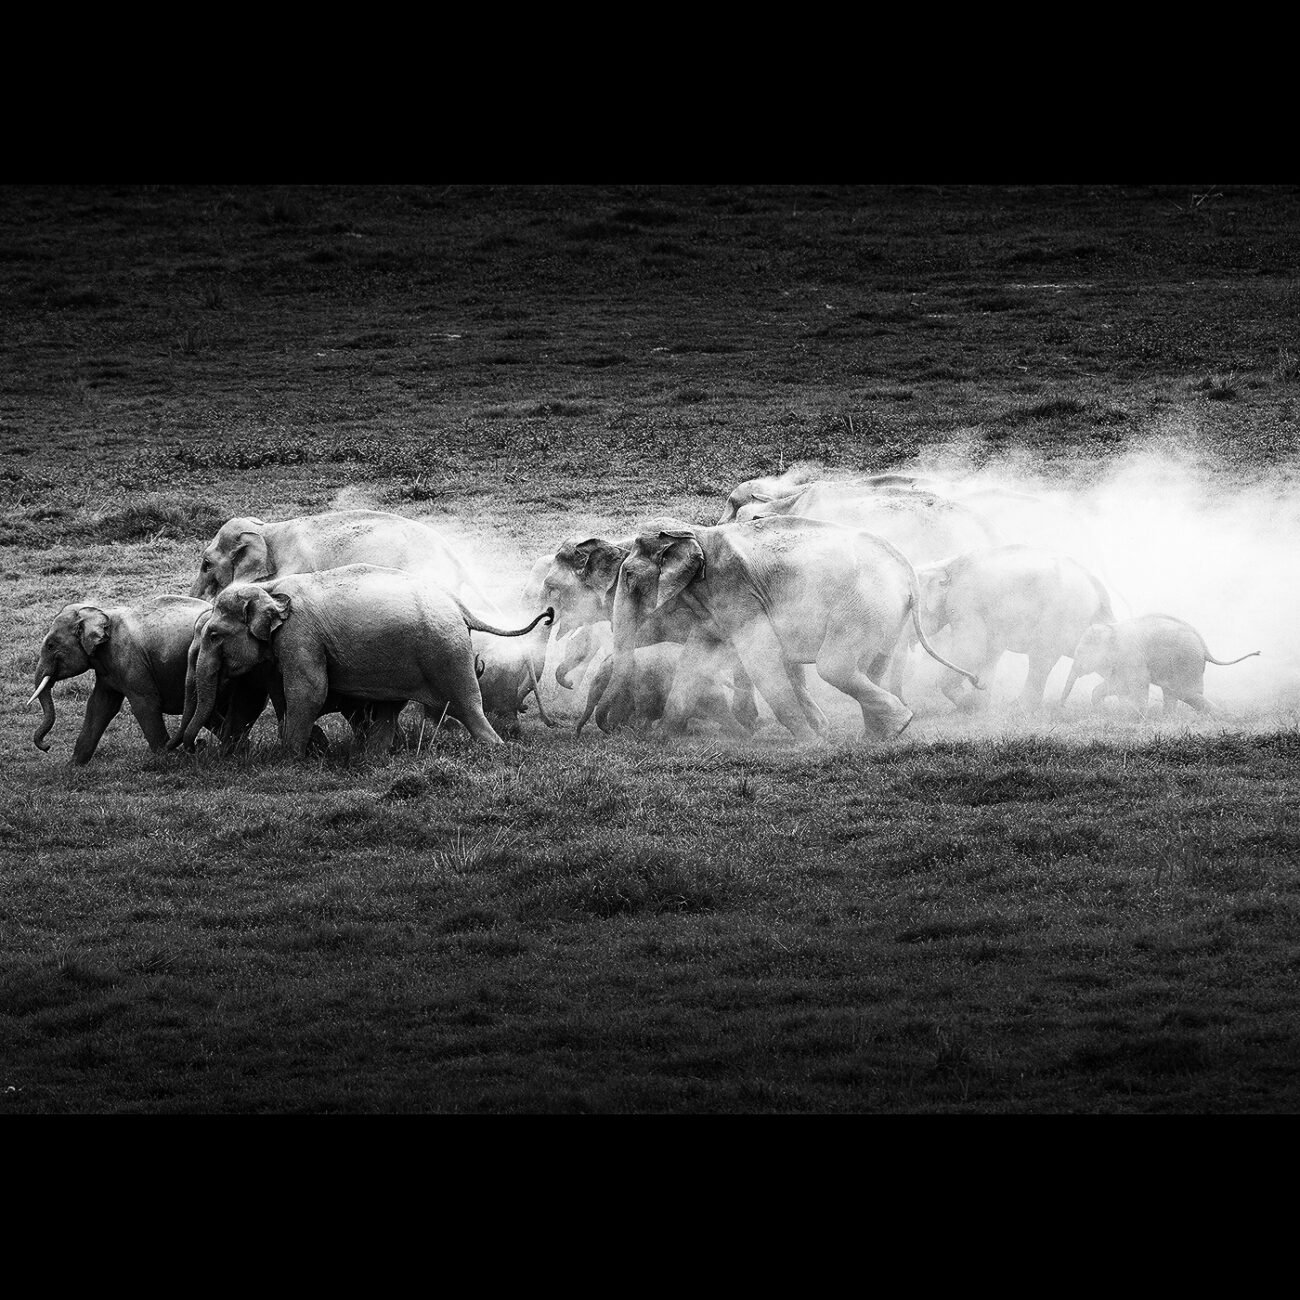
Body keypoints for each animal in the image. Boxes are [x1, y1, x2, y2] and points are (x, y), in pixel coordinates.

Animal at [28, 595, 268, 764]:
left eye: (50, 645)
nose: (46, 746)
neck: (101, 611)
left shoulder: (129, 659)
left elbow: (145, 703)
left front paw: (167, 761)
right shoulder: (107, 669)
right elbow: (99, 706)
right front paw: (72, 767)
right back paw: (240, 750)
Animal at [171, 564, 553, 757]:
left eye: (214, 635)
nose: (193, 748)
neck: (270, 587)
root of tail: (458, 605)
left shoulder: (301, 635)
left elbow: (309, 691)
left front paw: (289, 759)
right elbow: (284, 695)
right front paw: (309, 749)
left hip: (446, 649)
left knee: (467, 703)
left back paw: (496, 749)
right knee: (389, 709)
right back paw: (375, 756)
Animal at [596, 516, 983, 743]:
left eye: (628, 576)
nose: (620, 731)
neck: (697, 533)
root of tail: (907, 570)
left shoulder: (737, 590)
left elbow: (762, 658)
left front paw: (809, 744)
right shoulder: (715, 604)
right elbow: (696, 657)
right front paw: (664, 739)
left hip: (863, 604)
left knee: (834, 667)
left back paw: (899, 723)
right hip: (886, 613)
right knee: (872, 664)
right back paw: (882, 735)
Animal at [915, 544, 1116, 712]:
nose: (977, 682)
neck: (948, 564)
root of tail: (1095, 583)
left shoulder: (965, 600)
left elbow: (972, 650)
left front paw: (967, 704)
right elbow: (990, 652)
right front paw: (978, 704)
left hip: (1060, 614)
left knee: (1040, 659)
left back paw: (1017, 708)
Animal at [1061, 614, 1260, 716]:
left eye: (1080, 654)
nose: (1061, 709)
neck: (1110, 628)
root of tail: (1204, 647)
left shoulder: (1131, 654)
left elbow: (1138, 681)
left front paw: (1139, 716)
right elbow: (1118, 684)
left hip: (1186, 662)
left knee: (1186, 693)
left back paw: (1222, 716)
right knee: (1174, 692)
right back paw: (1169, 717)